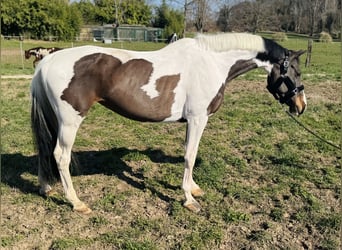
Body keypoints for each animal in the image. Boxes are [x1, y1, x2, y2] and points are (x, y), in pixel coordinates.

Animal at [30, 32, 308, 214]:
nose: (301, 106)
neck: (211, 62)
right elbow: (190, 156)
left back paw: (46, 188)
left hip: (55, 119)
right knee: (60, 156)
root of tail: (46, 61)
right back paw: (77, 203)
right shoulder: (198, 119)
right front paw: (189, 200)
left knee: (45, 150)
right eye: (295, 71)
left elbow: (188, 154)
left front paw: (193, 189)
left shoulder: (193, 121)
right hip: (69, 122)